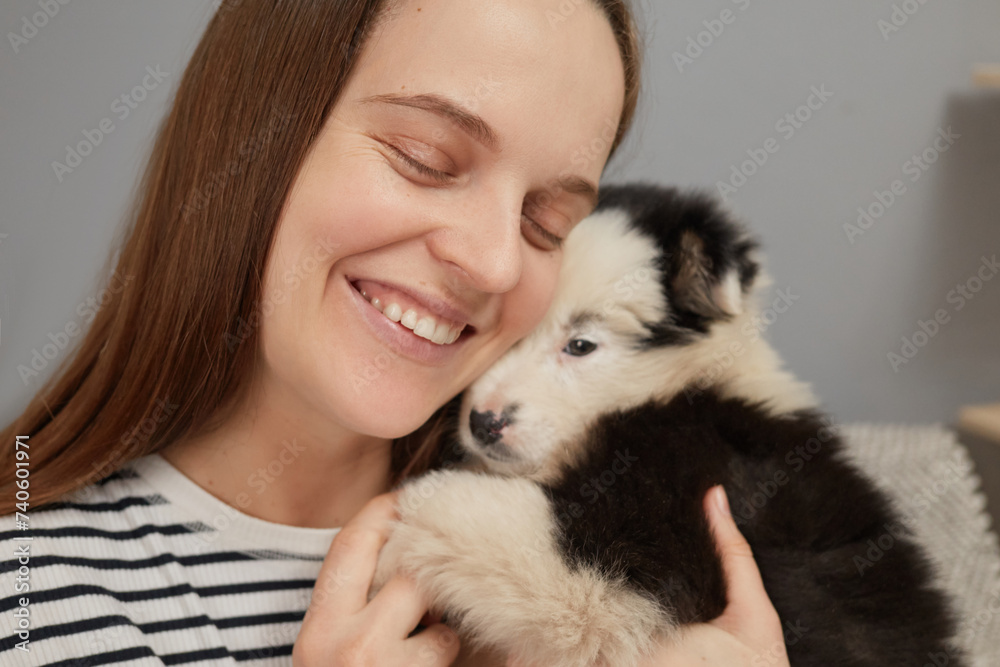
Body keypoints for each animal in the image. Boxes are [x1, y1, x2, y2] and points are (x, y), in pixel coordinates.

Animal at [372, 183, 964, 667]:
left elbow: (475, 520)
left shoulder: (660, 528)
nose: (484, 423)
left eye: (581, 345)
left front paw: (392, 540)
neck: (679, 386)